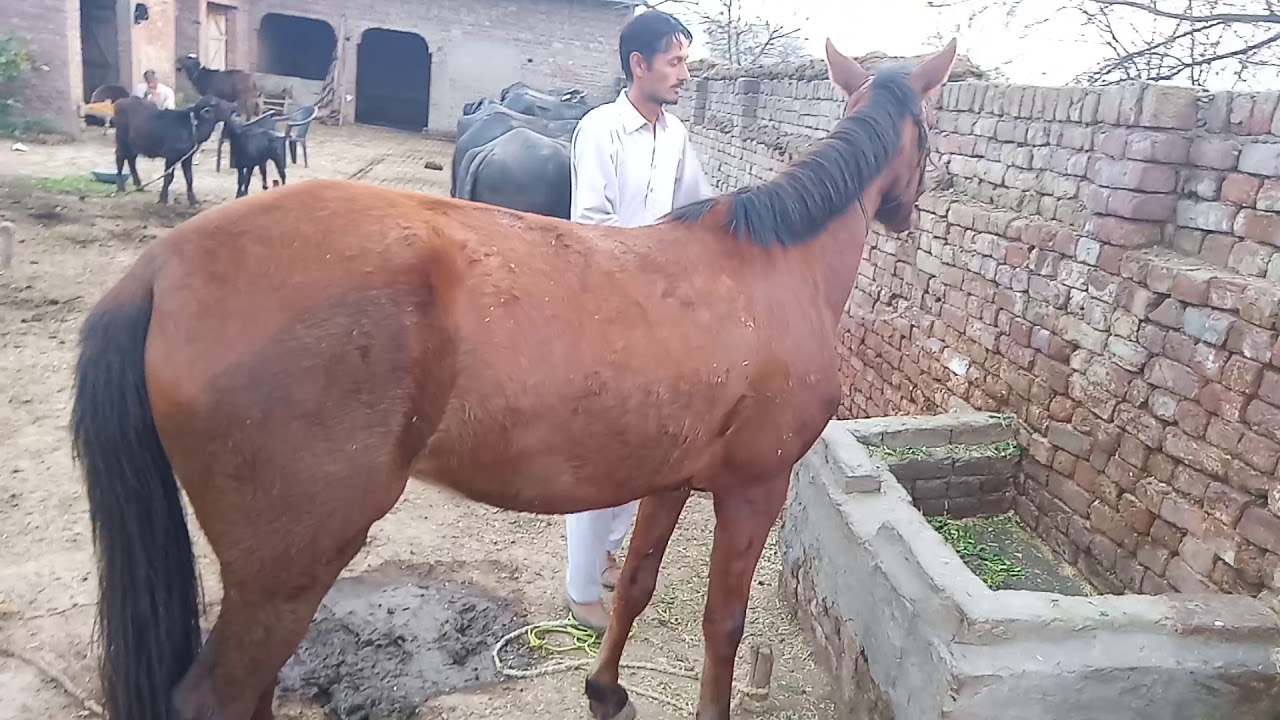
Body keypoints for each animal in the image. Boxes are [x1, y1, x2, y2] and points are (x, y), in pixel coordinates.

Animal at [69, 37, 957, 720]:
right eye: (932, 127)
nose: (912, 211)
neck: (773, 267)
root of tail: (161, 268)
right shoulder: (754, 489)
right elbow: (723, 622)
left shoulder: (671, 478)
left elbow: (634, 585)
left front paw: (606, 690)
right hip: (287, 569)